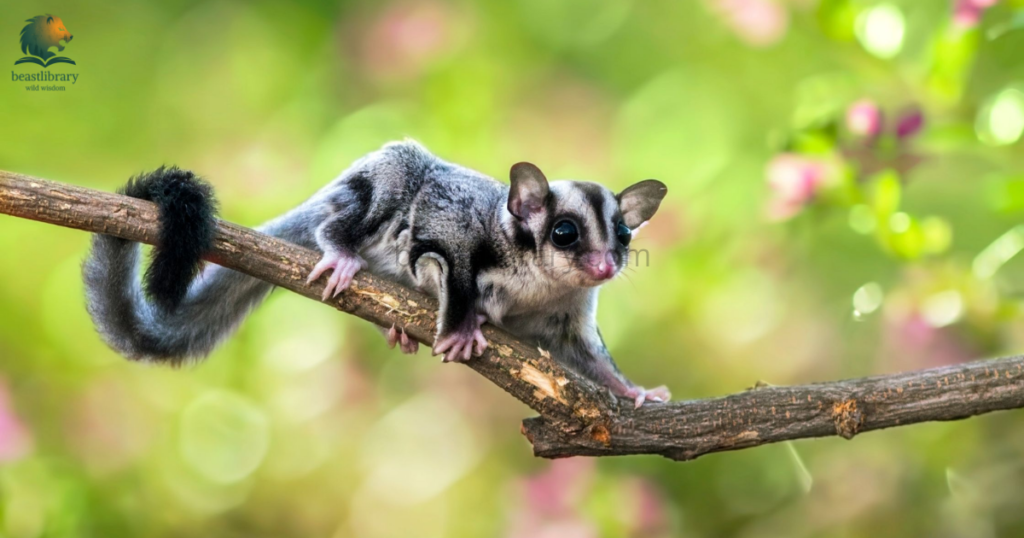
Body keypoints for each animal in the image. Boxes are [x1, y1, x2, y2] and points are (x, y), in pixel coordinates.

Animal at [83, 140, 670, 407]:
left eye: (622, 234)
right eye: (564, 232)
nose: (605, 264)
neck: (541, 283)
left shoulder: (568, 312)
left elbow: (587, 357)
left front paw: (635, 392)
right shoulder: (454, 232)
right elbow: (450, 266)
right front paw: (461, 327)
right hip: (379, 175)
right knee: (368, 196)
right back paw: (342, 249)